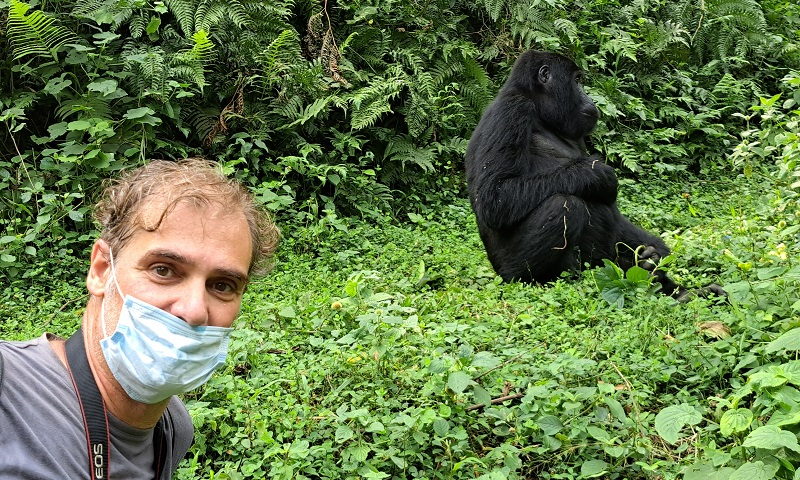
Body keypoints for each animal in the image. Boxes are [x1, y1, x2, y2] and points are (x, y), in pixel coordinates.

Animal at [466, 50, 720, 298]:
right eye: (577, 81)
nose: (590, 98)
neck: (538, 107)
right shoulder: (513, 110)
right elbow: (496, 196)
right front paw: (597, 175)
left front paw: (654, 253)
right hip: (508, 272)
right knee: (565, 206)